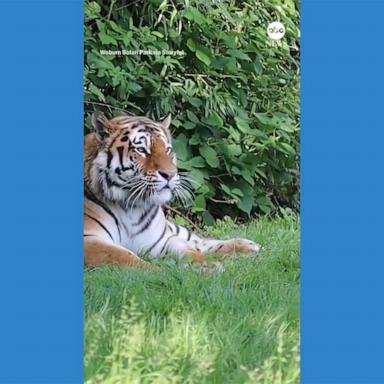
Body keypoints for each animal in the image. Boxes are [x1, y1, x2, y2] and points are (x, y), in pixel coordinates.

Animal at [84, 111, 262, 268]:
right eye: (141, 150)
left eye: (167, 150)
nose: (170, 174)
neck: (130, 207)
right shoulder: (90, 240)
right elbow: (125, 257)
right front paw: (155, 272)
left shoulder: (161, 239)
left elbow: (189, 250)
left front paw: (207, 266)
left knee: (200, 241)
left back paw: (249, 246)